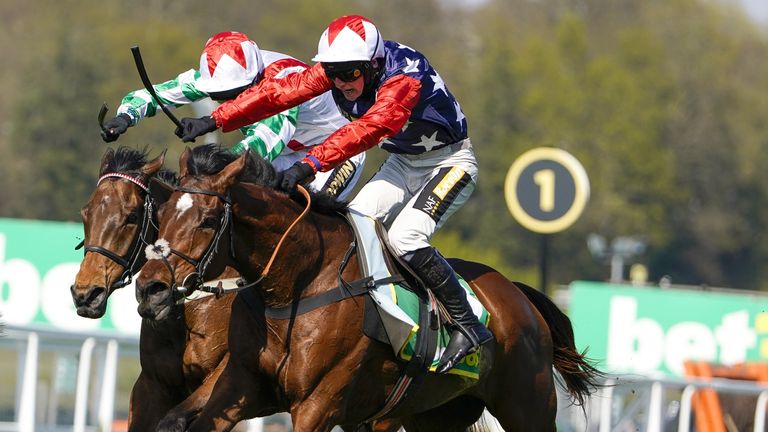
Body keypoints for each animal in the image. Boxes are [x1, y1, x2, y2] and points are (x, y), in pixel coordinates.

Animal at [134, 146, 600, 432]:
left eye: (208, 220)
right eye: (161, 213)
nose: (150, 289)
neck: (299, 282)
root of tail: (518, 295)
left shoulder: (318, 403)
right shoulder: (241, 383)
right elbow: (176, 420)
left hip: (528, 405)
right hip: (436, 414)